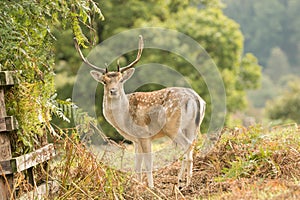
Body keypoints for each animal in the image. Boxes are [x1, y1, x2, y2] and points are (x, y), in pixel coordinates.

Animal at [75, 35, 206, 188]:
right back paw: (184, 182)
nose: (113, 91)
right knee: (190, 148)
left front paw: (151, 187)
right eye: (104, 81)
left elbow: (148, 163)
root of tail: (197, 99)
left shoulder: (144, 134)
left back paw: (183, 183)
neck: (124, 118)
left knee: (187, 147)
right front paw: (137, 186)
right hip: (192, 127)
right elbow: (137, 165)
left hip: (172, 126)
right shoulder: (135, 140)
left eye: (121, 80)